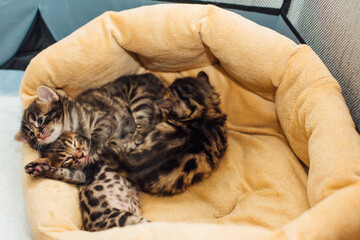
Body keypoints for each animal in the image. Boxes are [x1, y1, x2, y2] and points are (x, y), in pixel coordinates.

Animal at [14, 73, 166, 161]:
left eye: (40, 120)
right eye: (31, 135)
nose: (38, 135)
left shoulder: (104, 118)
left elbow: (96, 133)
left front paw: (94, 150)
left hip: (139, 98)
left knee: (146, 122)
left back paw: (135, 138)